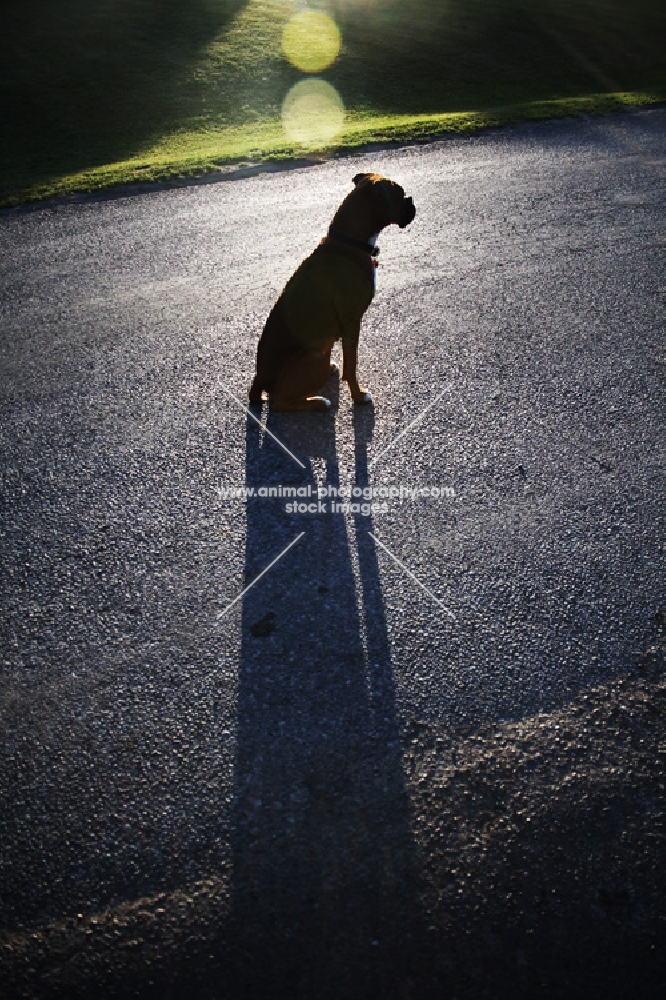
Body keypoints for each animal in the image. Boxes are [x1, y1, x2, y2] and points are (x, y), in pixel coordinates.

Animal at [249, 172, 416, 410]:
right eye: (400, 194)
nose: (411, 200)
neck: (349, 241)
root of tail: (261, 379)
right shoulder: (352, 321)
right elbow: (351, 365)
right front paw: (358, 396)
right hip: (315, 356)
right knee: (279, 402)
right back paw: (318, 402)